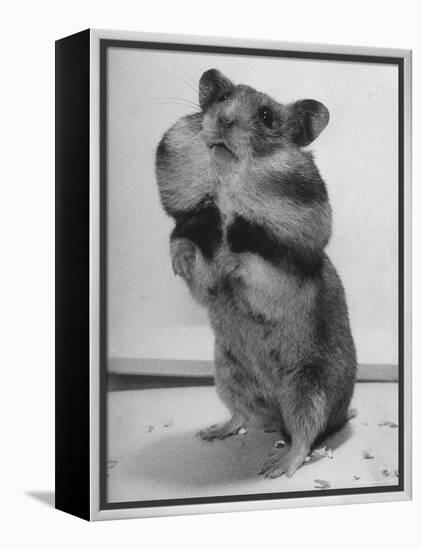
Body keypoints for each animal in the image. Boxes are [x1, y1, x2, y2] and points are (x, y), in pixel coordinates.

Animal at [155, 69, 356, 478]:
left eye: (265, 116)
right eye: (223, 97)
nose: (223, 120)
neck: (226, 191)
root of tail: (274, 415)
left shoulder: (285, 268)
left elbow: (253, 265)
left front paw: (232, 261)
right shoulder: (193, 234)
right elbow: (187, 251)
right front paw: (181, 263)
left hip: (308, 389)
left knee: (304, 435)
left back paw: (276, 466)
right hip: (228, 375)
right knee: (241, 415)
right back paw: (212, 432)